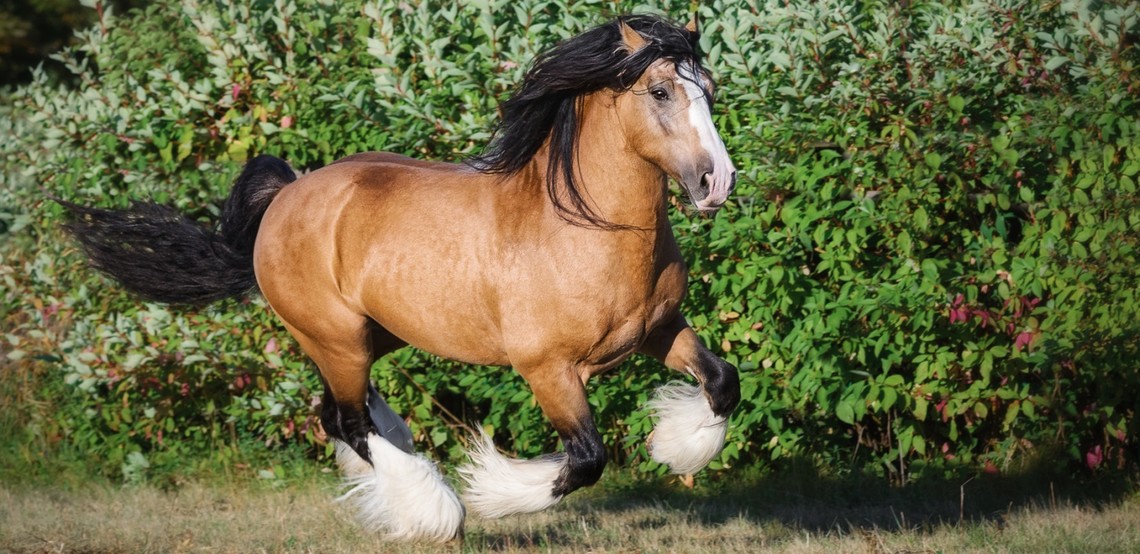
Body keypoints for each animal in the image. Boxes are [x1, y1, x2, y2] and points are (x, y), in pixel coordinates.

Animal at [64, 12, 738, 540]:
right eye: (659, 91)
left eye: (709, 88)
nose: (717, 182)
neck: (583, 228)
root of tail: (286, 198)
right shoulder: (548, 369)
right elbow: (586, 459)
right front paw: (491, 491)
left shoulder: (659, 331)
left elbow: (722, 385)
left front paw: (673, 444)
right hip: (335, 339)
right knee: (349, 422)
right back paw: (435, 513)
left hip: (370, 337)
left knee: (340, 415)